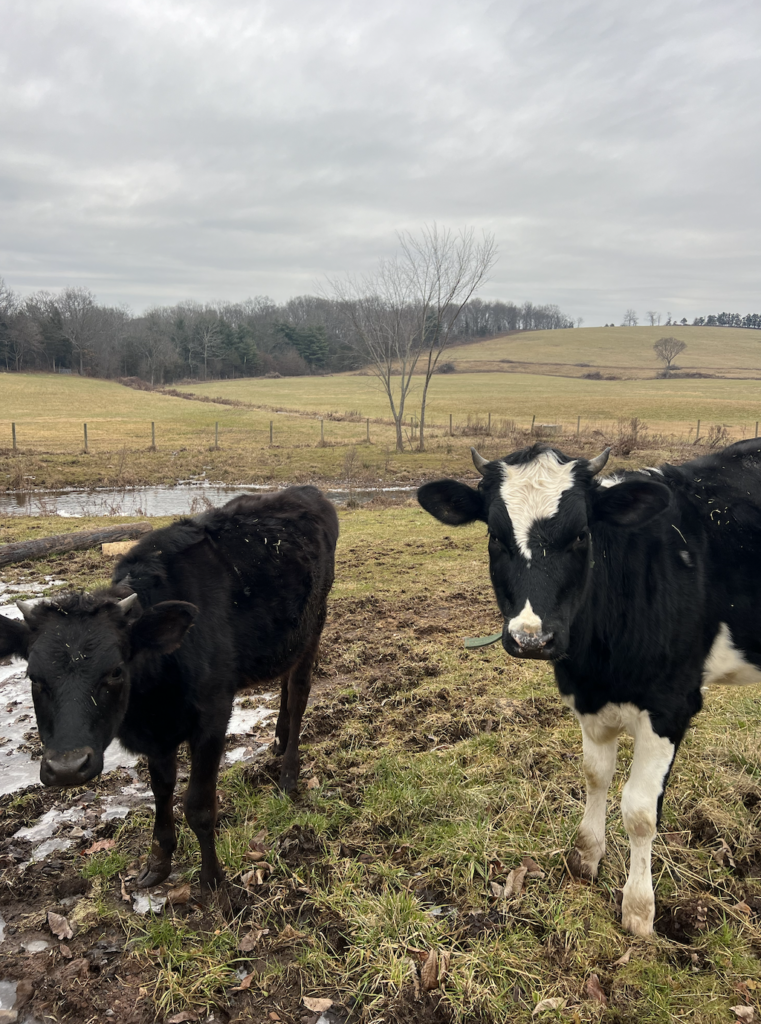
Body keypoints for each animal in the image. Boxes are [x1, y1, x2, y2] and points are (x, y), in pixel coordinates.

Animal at [0, 487, 340, 888]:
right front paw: (159, 860)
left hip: (315, 623)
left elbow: (198, 806)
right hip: (288, 638)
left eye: (115, 671)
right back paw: (277, 742)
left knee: (299, 692)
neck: (150, 702)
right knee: (286, 684)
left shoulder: (213, 718)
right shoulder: (157, 736)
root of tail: (305, 492)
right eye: (33, 677)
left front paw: (212, 882)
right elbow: (161, 790)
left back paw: (288, 774)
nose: (67, 768)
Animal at [419, 440, 761, 937]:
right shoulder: (588, 699)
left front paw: (638, 909)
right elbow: (595, 775)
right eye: (496, 538)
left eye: (582, 535)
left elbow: (639, 811)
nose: (531, 639)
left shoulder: (671, 704)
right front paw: (586, 858)